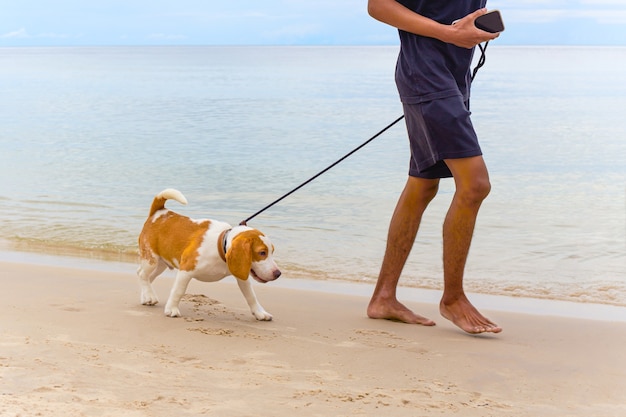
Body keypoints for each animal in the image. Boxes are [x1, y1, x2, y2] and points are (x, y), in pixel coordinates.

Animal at [140, 187, 282, 320]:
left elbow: (251, 296)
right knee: (142, 274)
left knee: (148, 278)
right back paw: (149, 296)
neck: (220, 246)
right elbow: (178, 291)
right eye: (262, 252)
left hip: (161, 264)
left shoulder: (242, 275)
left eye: (272, 251)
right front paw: (172, 309)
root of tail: (159, 212)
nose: (278, 274)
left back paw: (147, 296)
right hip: (151, 260)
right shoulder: (186, 270)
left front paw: (260, 313)